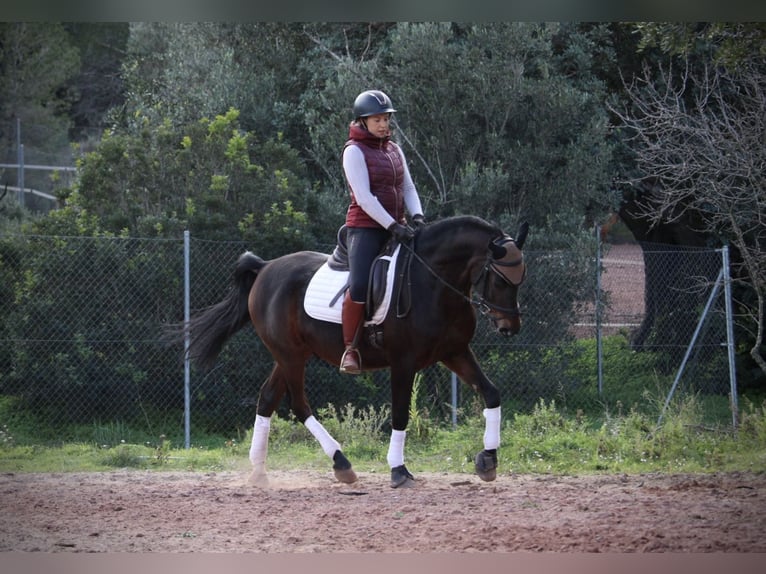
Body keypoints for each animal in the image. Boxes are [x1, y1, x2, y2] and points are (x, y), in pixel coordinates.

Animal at [181, 214, 528, 488]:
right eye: (500, 279)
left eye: (519, 279)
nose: (510, 327)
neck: (433, 282)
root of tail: (266, 267)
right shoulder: (403, 363)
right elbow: (400, 413)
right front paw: (399, 470)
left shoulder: (455, 352)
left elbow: (491, 393)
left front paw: (488, 459)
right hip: (290, 355)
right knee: (298, 404)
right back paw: (341, 463)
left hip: (291, 354)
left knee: (267, 397)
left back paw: (258, 472)